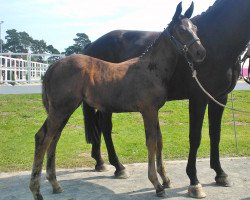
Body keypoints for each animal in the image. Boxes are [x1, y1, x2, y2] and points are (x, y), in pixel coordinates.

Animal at [29, 2, 205, 199]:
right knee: (43, 138)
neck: (151, 68)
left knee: (53, 138)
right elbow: (151, 143)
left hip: (62, 110)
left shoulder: (155, 111)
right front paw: (157, 185)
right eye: (182, 30)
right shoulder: (148, 110)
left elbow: (159, 141)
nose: (201, 52)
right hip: (61, 109)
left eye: (195, 28)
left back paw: (55, 184)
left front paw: (165, 180)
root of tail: (53, 66)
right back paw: (37, 191)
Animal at [82, 0, 250, 198]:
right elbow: (195, 137)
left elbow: (215, 134)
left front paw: (220, 174)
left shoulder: (219, 97)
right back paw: (118, 167)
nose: (200, 53)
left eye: (196, 28)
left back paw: (100, 162)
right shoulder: (199, 98)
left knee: (100, 127)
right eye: (182, 31)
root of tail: (91, 46)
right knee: (106, 128)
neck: (219, 41)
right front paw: (194, 181)